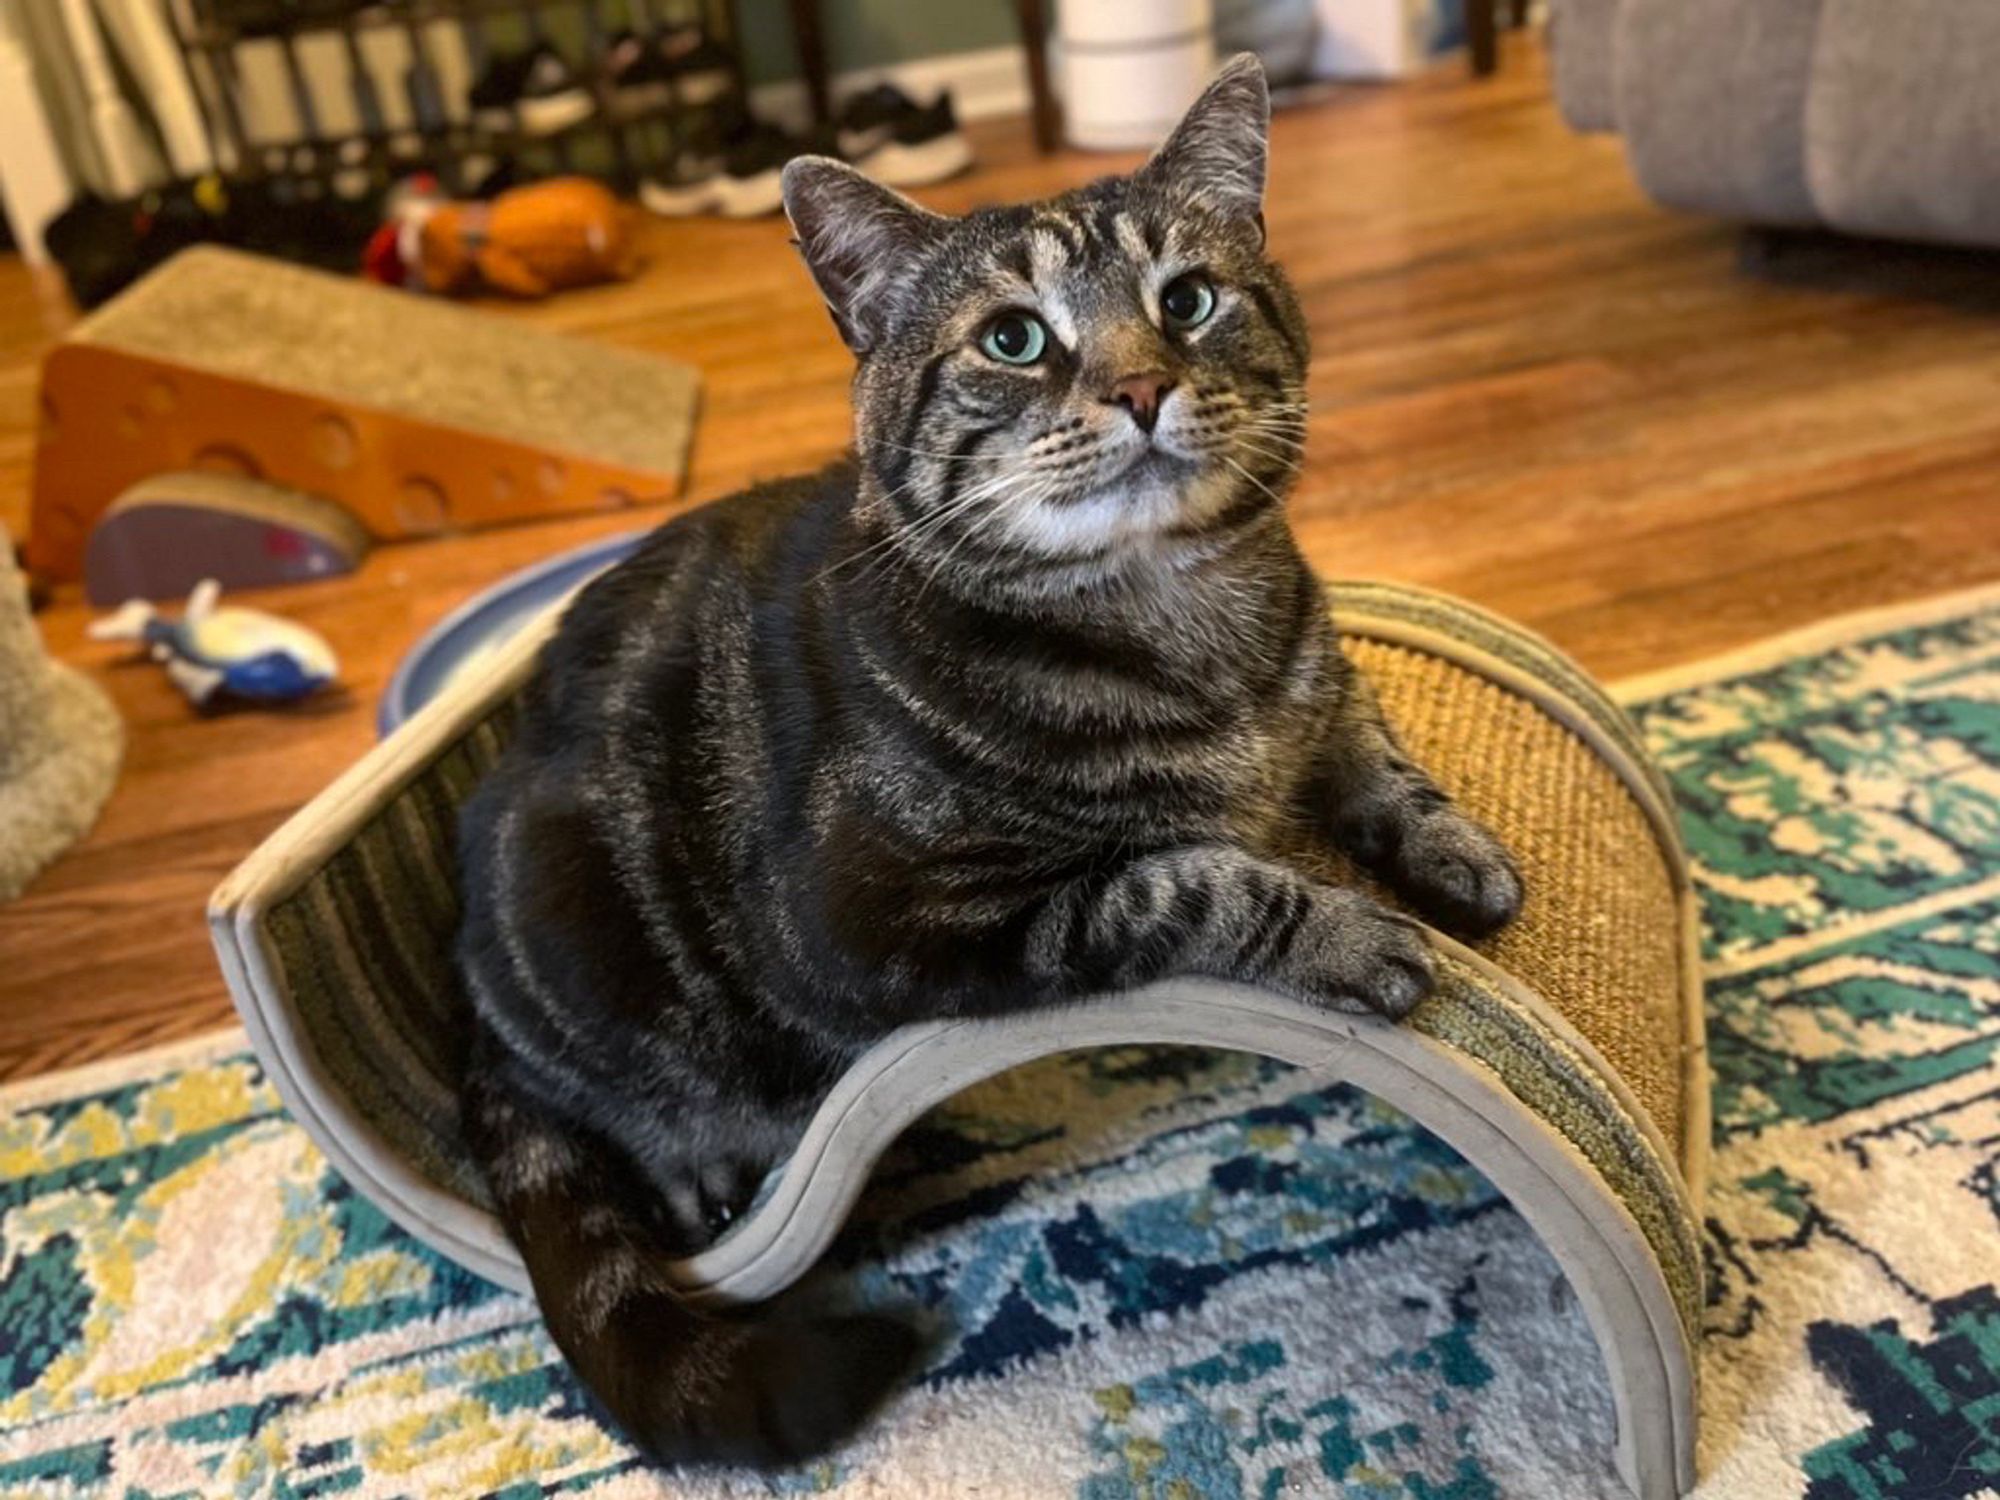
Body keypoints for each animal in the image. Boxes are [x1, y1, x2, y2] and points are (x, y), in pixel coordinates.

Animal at [450, 55, 1512, 1472]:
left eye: (1187, 299)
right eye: (1013, 339)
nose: (1139, 387)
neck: (1187, 626)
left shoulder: (1319, 688)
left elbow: (1375, 755)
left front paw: (1462, 859)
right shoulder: (882, 922)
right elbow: (1183, 879)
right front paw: (1352, 935)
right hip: (566, 905)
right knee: (590, 1097)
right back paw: (693, 1166)